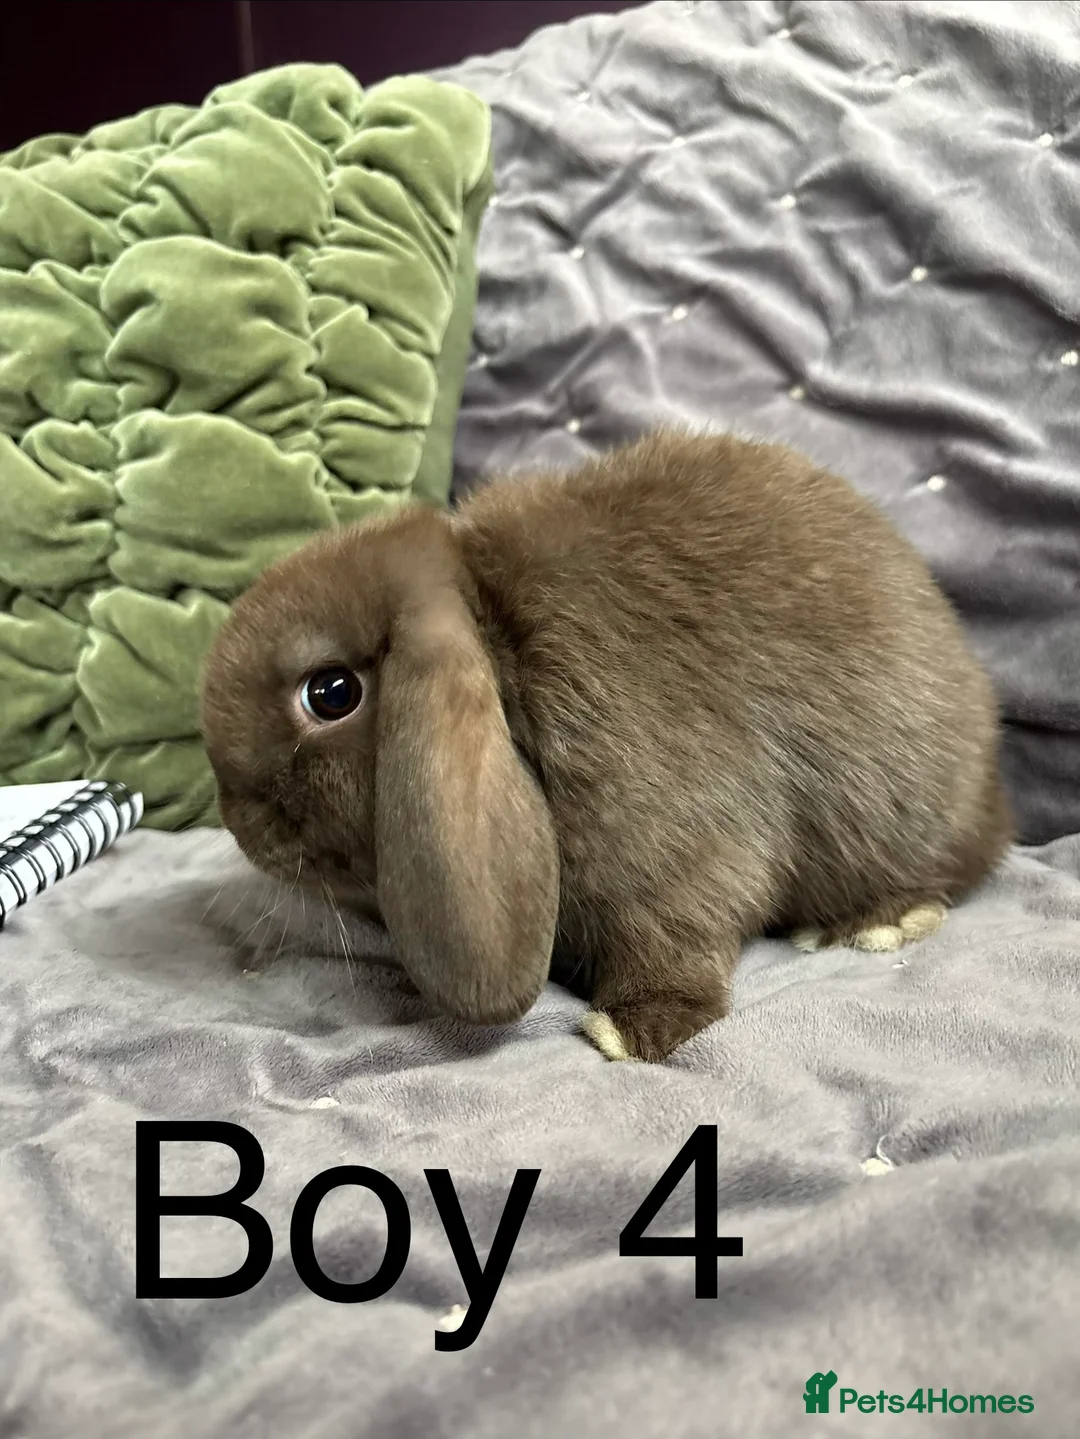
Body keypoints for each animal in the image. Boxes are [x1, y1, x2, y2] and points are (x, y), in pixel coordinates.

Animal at [201, 428, 1013, 1063]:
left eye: (331, 693)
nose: (239, 818)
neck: (503, 649)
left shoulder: (677, 854)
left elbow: (678, 936)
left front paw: (631, 1029)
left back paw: (879, 922)